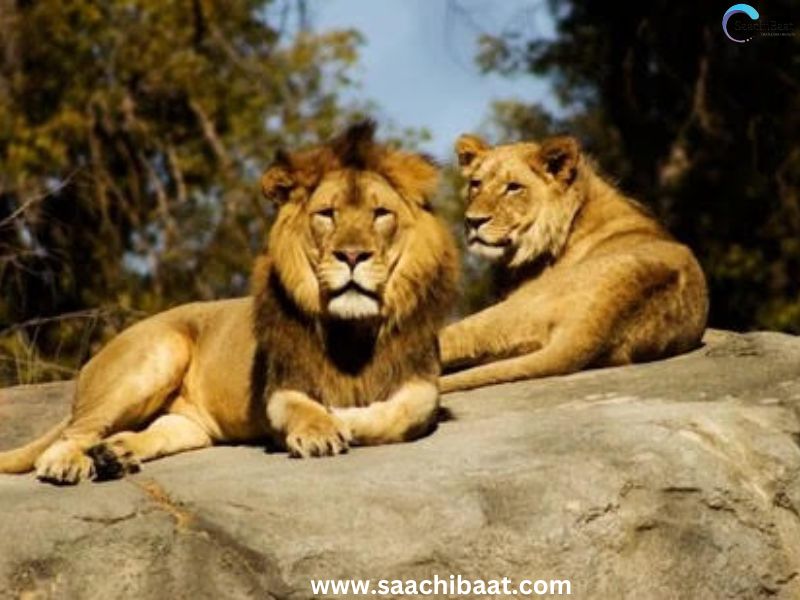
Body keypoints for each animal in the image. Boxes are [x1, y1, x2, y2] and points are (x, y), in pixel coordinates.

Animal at [0, 121, 458, 484]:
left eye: (380, 214)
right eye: (327, 214)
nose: (351, 255)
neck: (353, 328)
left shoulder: (420, 381)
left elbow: (400, 414)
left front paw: (342, 417)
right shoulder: (282, 386)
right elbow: (304, 408)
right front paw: (321, 428)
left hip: (187, 425)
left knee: (148, 431)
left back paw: (114, 454)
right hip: (156, 355)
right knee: (69, 436)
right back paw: (68, 464)